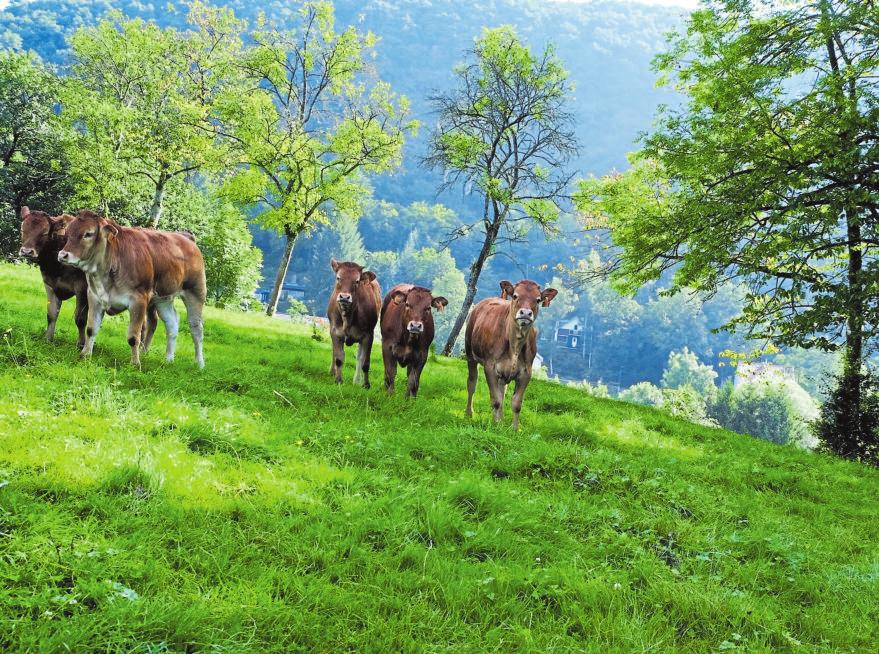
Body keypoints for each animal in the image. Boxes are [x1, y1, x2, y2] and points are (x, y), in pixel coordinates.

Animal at [57, 213, 207, 372]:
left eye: (88, 234)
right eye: (67, 233)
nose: (63, 255)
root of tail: (185, 237)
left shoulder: (138, 300)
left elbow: (134, 337)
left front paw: (135, 364)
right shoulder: (94, 297)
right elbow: (91, 329)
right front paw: (85, 355)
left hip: (196, 292)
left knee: (196, 328)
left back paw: (199, 363)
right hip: (163, 298)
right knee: (172, 324)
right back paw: (168, 360)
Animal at [326, 258, 382, 390]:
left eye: (356, 281)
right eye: (338, 277)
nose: (344, 297)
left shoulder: (368, 335)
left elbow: (365, 362)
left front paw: (366, 384)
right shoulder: (335, 331)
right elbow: (339, 358)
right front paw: (338, 380)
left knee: (359, 357)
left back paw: (357, 380)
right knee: (334, 352)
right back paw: (332, 372)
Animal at [468, 280, 556, 430]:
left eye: (538, 300)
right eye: (515, 296)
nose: (525, 313)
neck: (515, 346)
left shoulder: (526, 372)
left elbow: (516, 403)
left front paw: (514, 429)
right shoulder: (490, 367)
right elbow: (496, 400)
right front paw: (496, 425)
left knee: (502, 392)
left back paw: (501, 419)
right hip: (470, 354)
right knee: (472, 384)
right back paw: (469, 413)